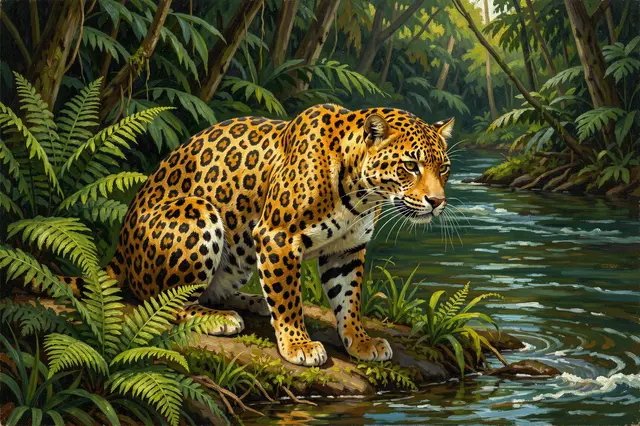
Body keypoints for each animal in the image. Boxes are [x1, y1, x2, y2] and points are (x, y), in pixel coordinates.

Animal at [92, 104, 454, 366]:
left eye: (444, 168)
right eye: (410, 166)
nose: (437, 202)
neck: (361, 195)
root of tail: (120, 247)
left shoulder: (347, 251)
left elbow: (348, 298)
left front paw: (361, 341)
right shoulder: (277, 237)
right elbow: (287, 296)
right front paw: (298, 345)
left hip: (239, 256)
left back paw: (251, 302)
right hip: (199, 212)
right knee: (163, 300)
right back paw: (217, 319)